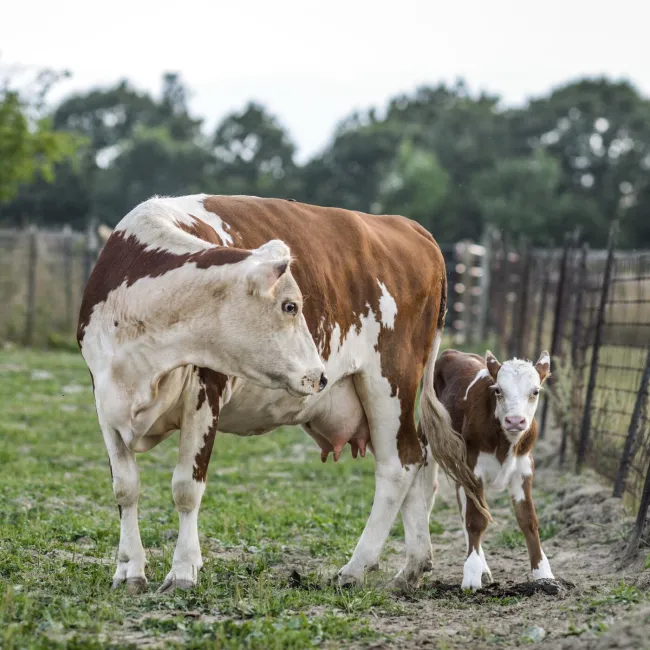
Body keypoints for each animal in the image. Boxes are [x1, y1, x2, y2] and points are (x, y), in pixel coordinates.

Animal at [77, 194, 487, 594]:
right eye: (290, 306)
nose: (320, 376)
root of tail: (407, 226)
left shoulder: (205, 396)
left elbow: (185, 489)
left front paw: (183, 571)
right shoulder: (104, 401)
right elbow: (125, 488)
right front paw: (130, 569)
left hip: (390, 382)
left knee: (398, 466)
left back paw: (355, 567)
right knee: (420, 460)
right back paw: (412, 567)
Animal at [433, 348, 554, 591]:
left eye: (535, 391)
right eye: (498, 390)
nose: (515, 421)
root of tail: (454, 351)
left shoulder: (524, 468)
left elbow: (528, 519)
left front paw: (543, 573)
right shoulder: (473, 468)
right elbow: (476, 520)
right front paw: (471, 574)